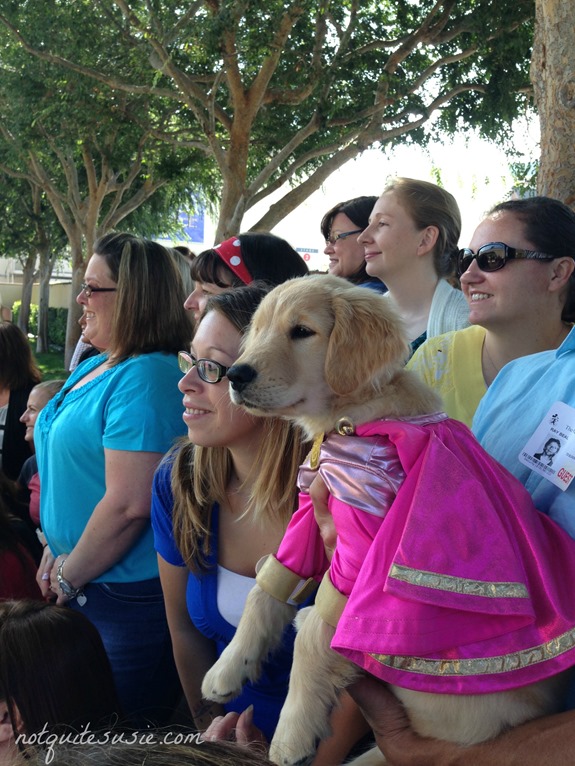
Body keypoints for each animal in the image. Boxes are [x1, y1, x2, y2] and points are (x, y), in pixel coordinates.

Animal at [201, 276, 575, 766]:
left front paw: (292, 735)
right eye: (259, 329)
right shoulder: (308, 513)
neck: (349, 421)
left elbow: (317, 632)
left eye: (301, 331)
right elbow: (265, 592)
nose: (236, 376)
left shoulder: (365, 538)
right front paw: (228, 669)